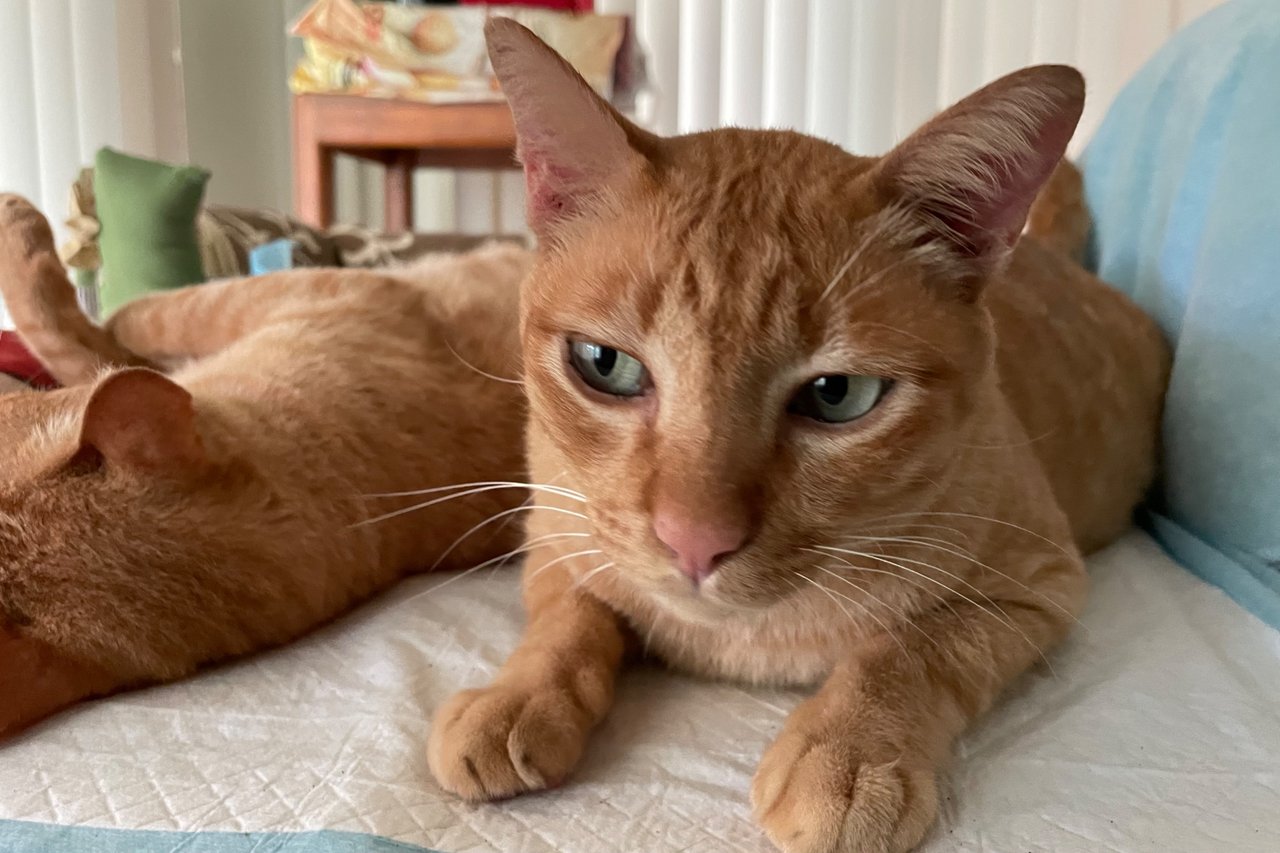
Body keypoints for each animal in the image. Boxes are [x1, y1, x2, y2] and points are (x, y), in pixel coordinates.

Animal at [427, 19, 1172, 850]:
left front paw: (848, 755)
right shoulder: (558, 534)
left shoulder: (1038, 586)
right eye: (605, 364)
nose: (695, 541)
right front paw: (519, 695)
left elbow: (911, 648)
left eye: (837, 395)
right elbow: (571, 616)